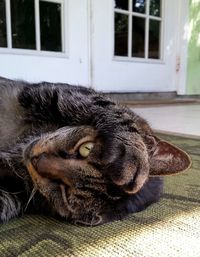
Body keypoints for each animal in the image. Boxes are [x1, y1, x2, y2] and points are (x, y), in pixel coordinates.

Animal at [0, 77, 191, 224]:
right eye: (86, 148)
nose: (36, 159)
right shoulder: (59, 92)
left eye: (65, 192)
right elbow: (111, 108)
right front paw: (130, 151)